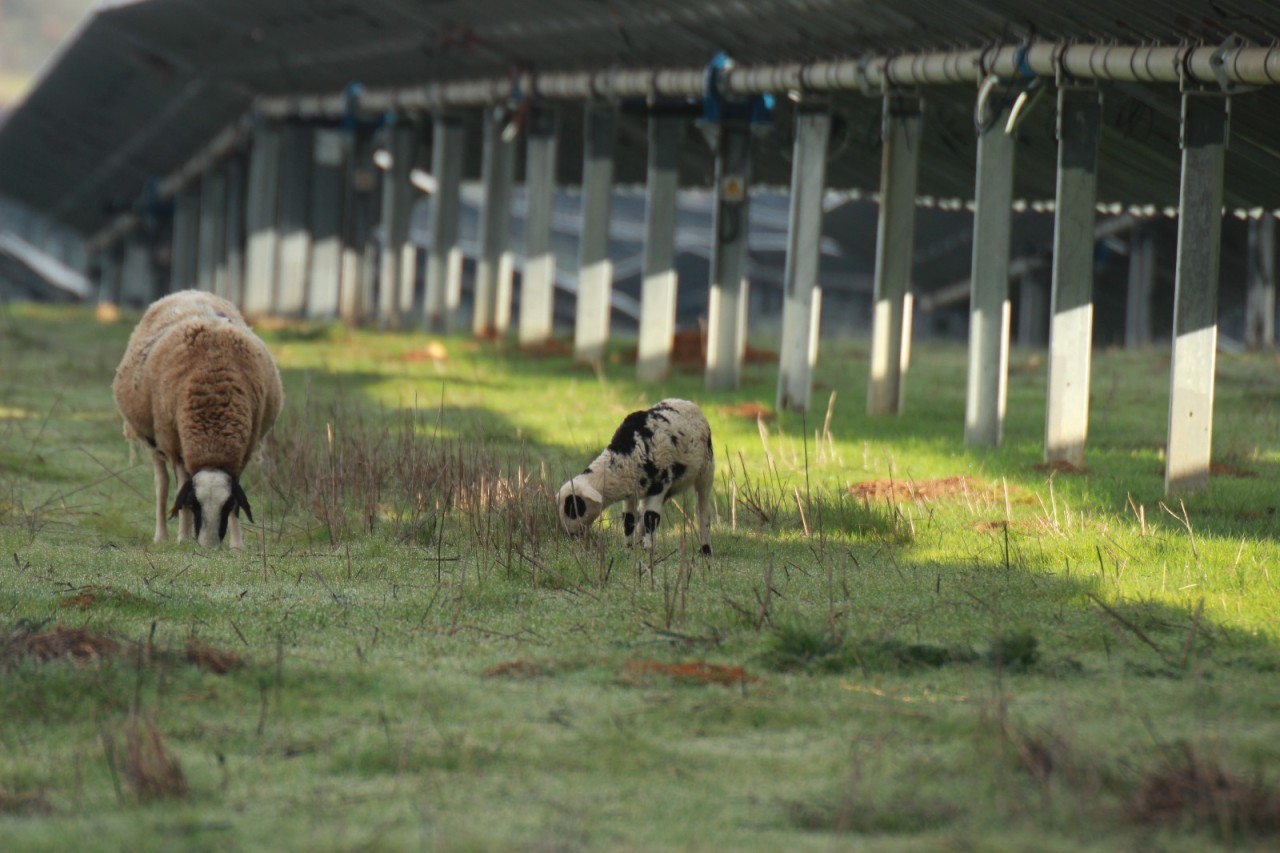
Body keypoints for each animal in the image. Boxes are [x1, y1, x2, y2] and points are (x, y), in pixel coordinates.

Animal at [112, 290, 282, 545]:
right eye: (193, 503)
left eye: (228, 504)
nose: (209, 546)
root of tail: (189, 292)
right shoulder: (175, 446)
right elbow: (180, 489)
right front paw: (183, 538)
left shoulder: (244, 450)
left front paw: (237, 544)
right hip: (154, 440)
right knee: (162, 485)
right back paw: (162, 536)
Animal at [555, 397, 716, 550]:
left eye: (574, 508)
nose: (570, 534)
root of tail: (686, 402)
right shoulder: (632, 488)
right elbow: (629, 519)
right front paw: (630, 547)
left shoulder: (660, 485)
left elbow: (651, 516)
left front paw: (648, 549)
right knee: (642, 512)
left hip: (706, 469)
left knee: (702, 508)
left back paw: (705, 548)